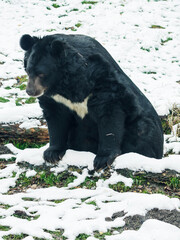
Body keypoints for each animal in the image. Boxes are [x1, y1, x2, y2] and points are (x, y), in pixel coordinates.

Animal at [20, 33, 165, 170]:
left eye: (42, 73)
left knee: (143, 133)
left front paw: (103, 159)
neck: (63, 83)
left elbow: (110, 116)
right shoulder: (55, 98)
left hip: (142, 125)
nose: (30, 91)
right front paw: (51, 153)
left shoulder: (102, 81)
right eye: (28, 70)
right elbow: (56, 119)